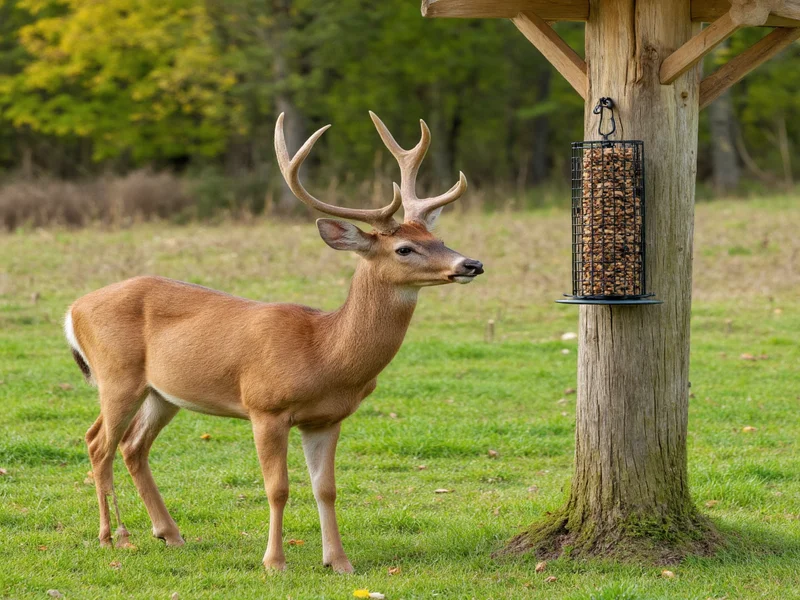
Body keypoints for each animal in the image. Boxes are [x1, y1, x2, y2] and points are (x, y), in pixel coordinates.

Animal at [64, 111, 484, 574]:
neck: (325, 352)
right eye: (405, 248)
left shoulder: (327, 419)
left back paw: (169, 533)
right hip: (117, 375)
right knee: (97, 442)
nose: (471, 263)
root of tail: (73, 308)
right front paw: (275, 561)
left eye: (439, 240)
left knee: (132, 446)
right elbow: (277, 488)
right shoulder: (265, 407)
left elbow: (326, 489)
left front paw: (338, 562)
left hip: (163, 392)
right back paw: (113, 537)